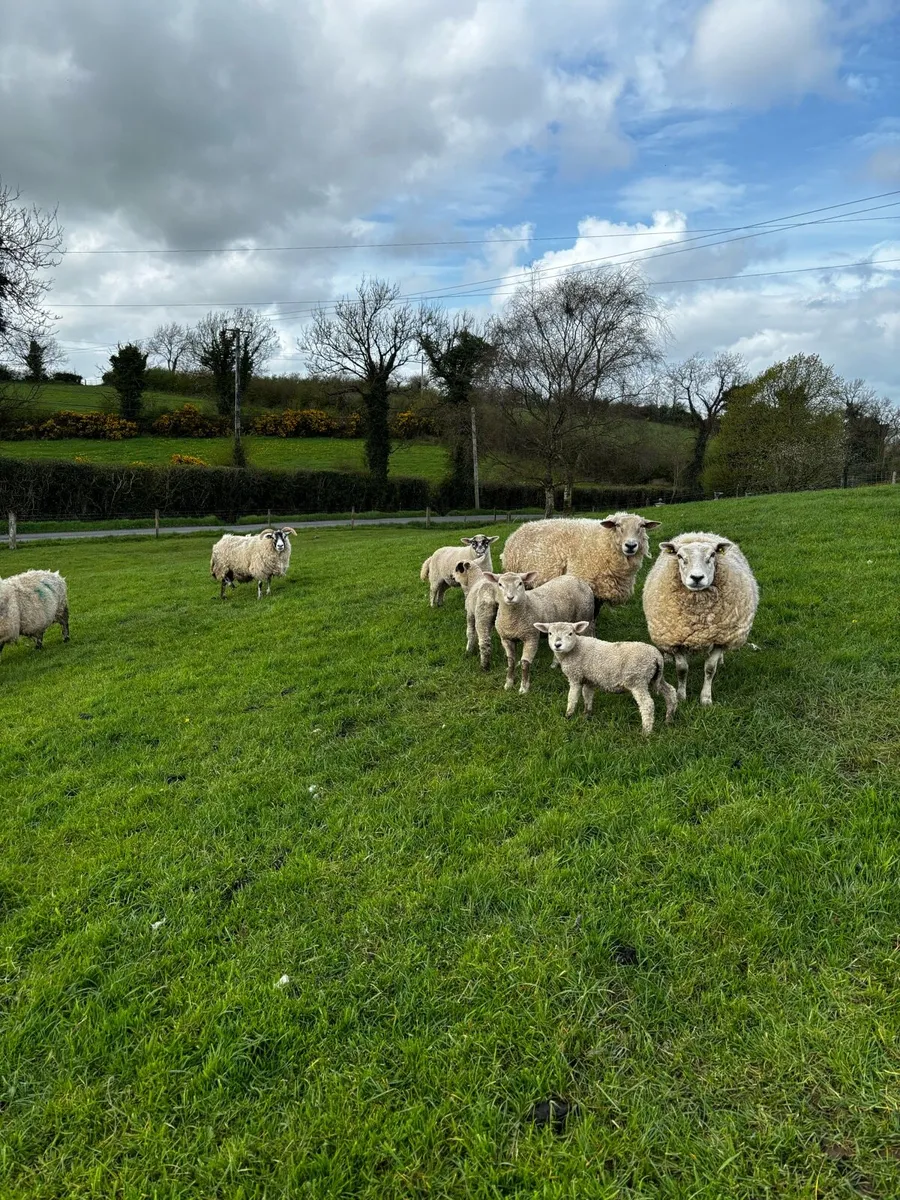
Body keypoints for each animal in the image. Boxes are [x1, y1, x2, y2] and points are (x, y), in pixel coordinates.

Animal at [500, 513, 660, 610]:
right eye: (617, 525)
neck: (601, 543)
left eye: (642, 526)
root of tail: (521, 527)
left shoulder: (600, 591)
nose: (631, 546)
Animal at [534, 621, 677, 735]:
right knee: (670, 691)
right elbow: (587, 696)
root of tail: (657, 656)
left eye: (570, 633)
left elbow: (572, 697)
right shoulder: (589, 678)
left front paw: (568, 715)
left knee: (647, 704)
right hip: (655, 677)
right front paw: (587, 714)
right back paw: (669, 719)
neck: (574, 649)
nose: (557, 645)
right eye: (550, 633)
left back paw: (646, 732)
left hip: (637, 679)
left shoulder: (575, 676)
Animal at [641, 531, 759, 706]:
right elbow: (682, 669)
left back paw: (721, 660)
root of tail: (699, 534)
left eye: (712, 555)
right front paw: (681, 696)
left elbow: (710, 668)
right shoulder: (676, 639)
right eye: (679, 556)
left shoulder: (720, 638)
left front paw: (706, 698)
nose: (697, 578)